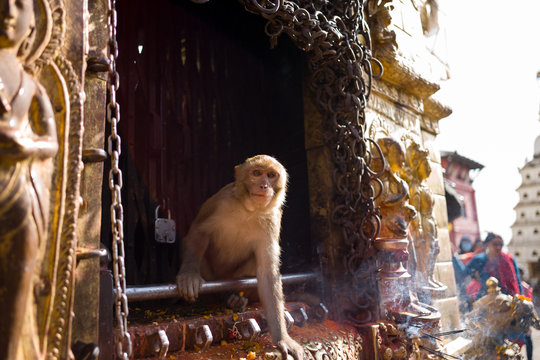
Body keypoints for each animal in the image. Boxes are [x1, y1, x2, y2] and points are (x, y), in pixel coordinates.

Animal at [177, 154, 304, 360]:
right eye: (257, 173)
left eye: (271, 175)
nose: (264, 186)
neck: (249, 210)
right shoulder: (221, 201)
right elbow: (199, 231)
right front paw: (189, 275)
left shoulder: (272, 218)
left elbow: (267, 274)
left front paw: (283, 339)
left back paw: (235, 298)